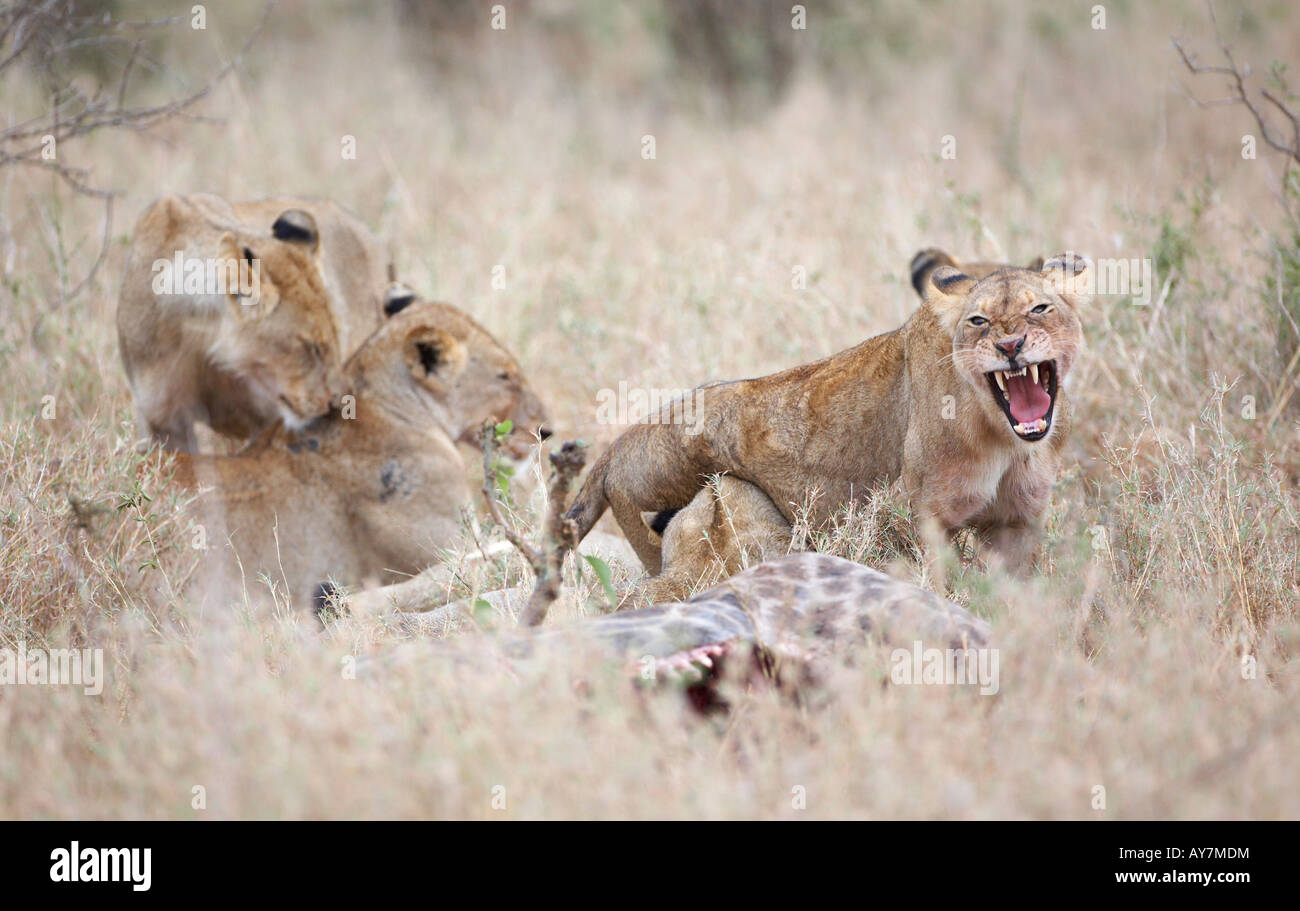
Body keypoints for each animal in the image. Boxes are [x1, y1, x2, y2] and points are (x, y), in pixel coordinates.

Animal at [118, 194, 393, 451]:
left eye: (335, 341)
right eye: (311, 347)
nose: (338, 403)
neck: (203, 343)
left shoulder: (265, 418)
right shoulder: (162, 422)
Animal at [566, 254, 1089, 577]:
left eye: (1040, 309)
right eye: (978, 321)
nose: (1010, 345)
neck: (1002, 437)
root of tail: (615, 449)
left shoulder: (1017, 524)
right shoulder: (919, 517)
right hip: (660, 480)